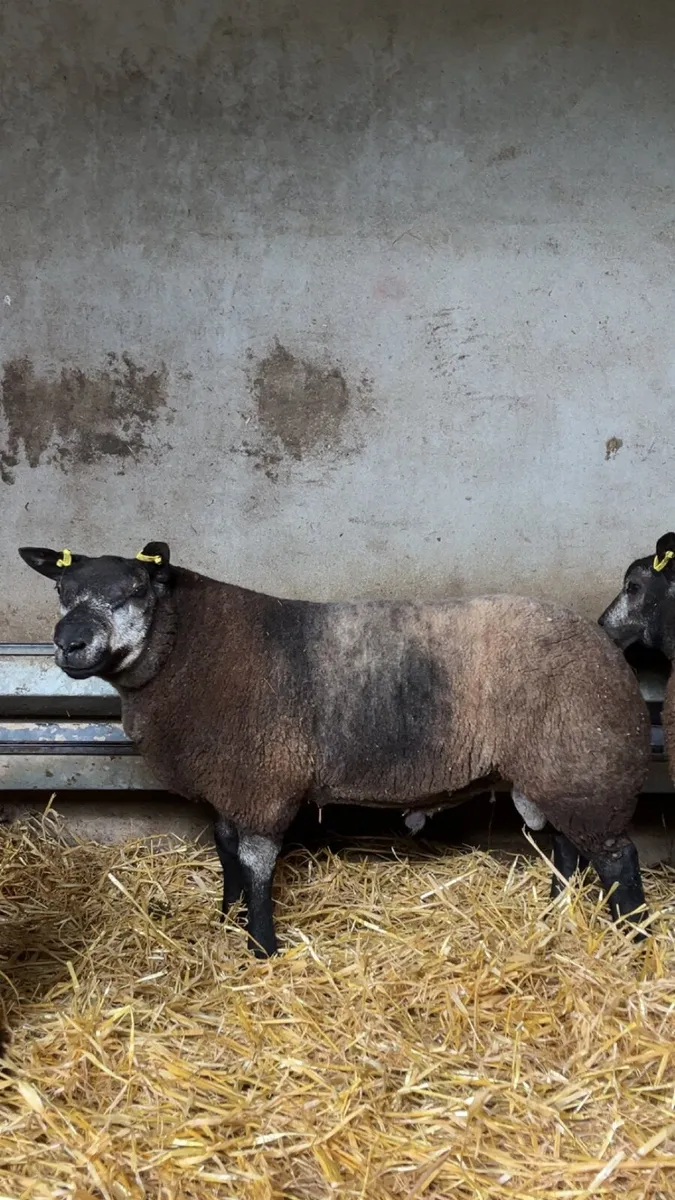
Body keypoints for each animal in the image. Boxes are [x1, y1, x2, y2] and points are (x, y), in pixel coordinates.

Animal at [19, 541, 651, 957]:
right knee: (567, 846)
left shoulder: (264, 782)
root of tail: (602, 641)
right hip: (554, 770)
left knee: (618, 859)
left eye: (133, 592)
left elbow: (256, 865)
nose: (69, 644)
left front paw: (262, 946)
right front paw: (227, 919)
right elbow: (225, 851)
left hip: (587, 765)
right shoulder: (231, 783)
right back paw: (555, 912)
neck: (190, 648)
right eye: (61, 590)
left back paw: (635, 941)